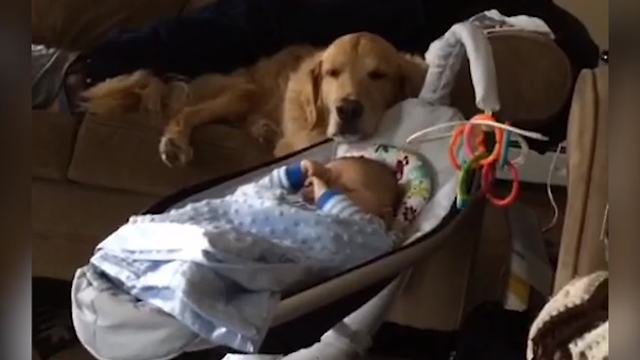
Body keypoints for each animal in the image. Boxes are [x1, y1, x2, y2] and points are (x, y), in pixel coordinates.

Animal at [82, 31, 428, 167]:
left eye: (378, 75)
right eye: (332, 72)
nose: (347, 110)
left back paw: (264, 129)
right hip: (241, 93)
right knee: (186, 113)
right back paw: (175, 143)